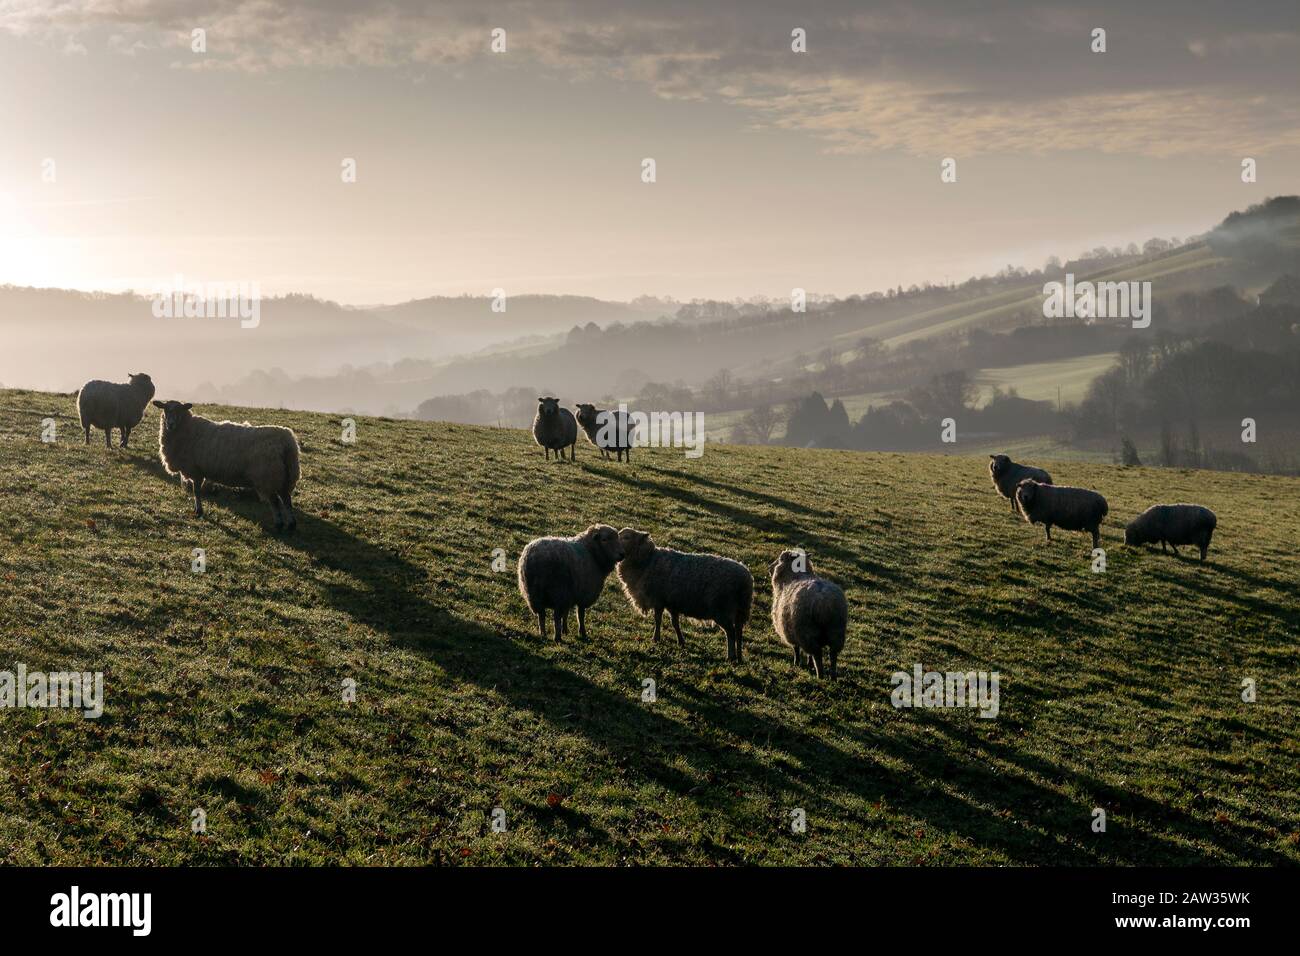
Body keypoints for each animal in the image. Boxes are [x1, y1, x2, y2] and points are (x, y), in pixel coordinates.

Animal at [152, 395, 301, 530]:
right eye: (165, 409)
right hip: (284, 475)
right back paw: (291, 524)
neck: (187, 429)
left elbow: (196, 491)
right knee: (286, 500)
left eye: (180, 410)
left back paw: (279, 523)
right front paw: (197, 509)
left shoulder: (196, 470)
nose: (170, 424)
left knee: (275, 501)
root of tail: (288, 442)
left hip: (268, 476)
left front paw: (199, 511)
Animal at [616, 528, 759, 660]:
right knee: (739, 632)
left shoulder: (658, 599)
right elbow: (675, 623)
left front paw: (656, 639)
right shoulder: (671, 603)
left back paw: (730, 656)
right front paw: (681, 642)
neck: (647, 560)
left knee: (731, 632)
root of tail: (746, 579)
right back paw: (739, 657)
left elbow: (658, 620)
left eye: (627, 537)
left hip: (722, 608)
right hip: (740, 609)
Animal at [764, 548, 847, 676]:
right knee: (833, 655)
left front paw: (797, 663)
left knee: (817, 655)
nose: (769, 568)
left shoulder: (790, 632)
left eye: (780, 559)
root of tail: (824, 604)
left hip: (808, 633)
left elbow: (796, 649)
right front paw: (808, 664)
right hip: (836, 632)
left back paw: (820, 675)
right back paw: (832, 675)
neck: (794, 576)